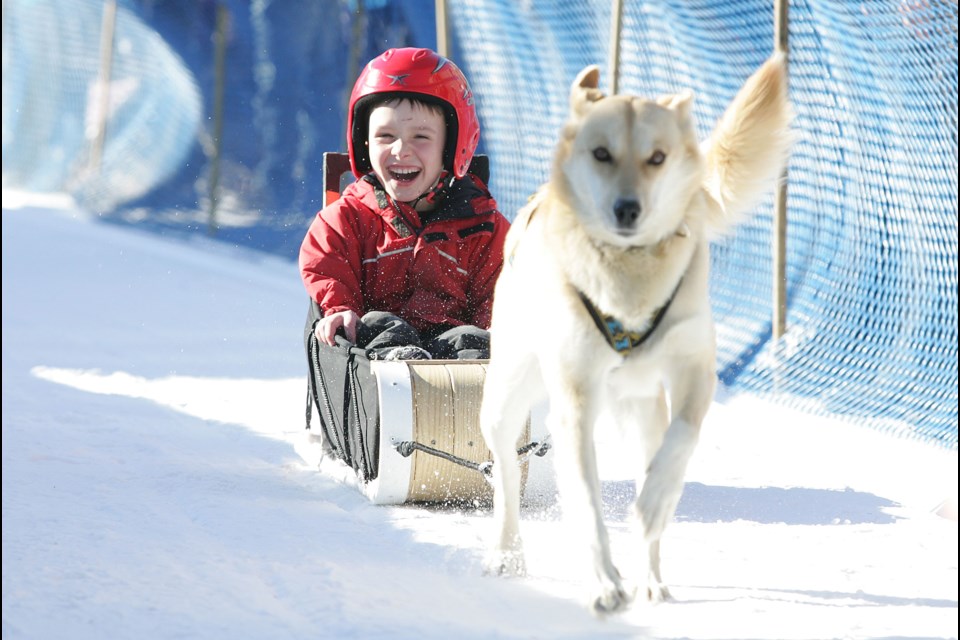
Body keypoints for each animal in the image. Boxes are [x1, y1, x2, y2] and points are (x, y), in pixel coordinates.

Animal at [484, 52, 792, 612]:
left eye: (657, 158)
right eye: (602, 153)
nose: (628, 209)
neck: (629, 283)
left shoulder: (695, 371)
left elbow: (679, 448)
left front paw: (653, 508)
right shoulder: (574, 404)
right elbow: (586, 503)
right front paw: (604, 582)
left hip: (642, 412)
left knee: (652, 463)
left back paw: (651, 576)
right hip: (504, 400)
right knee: (506, 476)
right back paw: (506, 551)